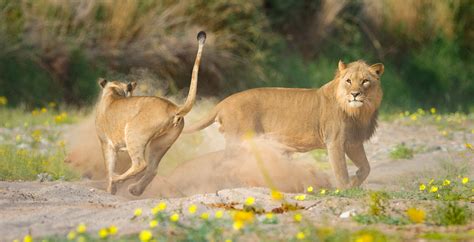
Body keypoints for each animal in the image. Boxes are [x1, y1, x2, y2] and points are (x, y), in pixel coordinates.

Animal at [96, 30, 206, 197]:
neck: (114, 92)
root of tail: (172, 107)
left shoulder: (105, 142)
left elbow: (109, 166)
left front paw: (110, 188)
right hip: (161, 142)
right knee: (152, 168)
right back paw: (135, 190)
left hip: (134, 133)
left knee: (140, 164)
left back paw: (118, 179)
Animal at [185, 60, 386, 187]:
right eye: (348, 81)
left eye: (365, 81)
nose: (355, 94)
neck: (359, 112)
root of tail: (223, 102)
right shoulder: (335, 142)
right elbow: (341, 170)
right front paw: (346, 189)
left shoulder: (353, 142)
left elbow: (366, 167)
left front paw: (356, 181)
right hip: (238, 141)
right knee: (224, 164)